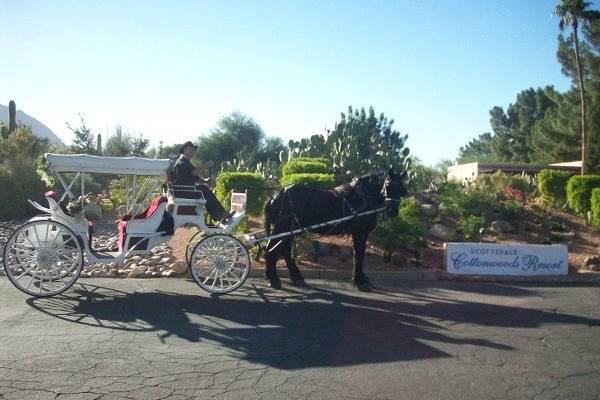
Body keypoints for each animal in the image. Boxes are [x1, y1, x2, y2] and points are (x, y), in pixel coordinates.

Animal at [262, 168, 408, 290]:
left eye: (401, 189)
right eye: (388, 185)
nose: (393, 211)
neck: (361, 197)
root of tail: (274, 196)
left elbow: (358, 255)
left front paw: (360, 279)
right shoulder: (360, 232)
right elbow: (359, 255)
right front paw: (360, 281)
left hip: (290, 229)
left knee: (283, 250)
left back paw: (295, 278)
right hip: (282, 227)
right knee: (271, 250)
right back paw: (273, 279)